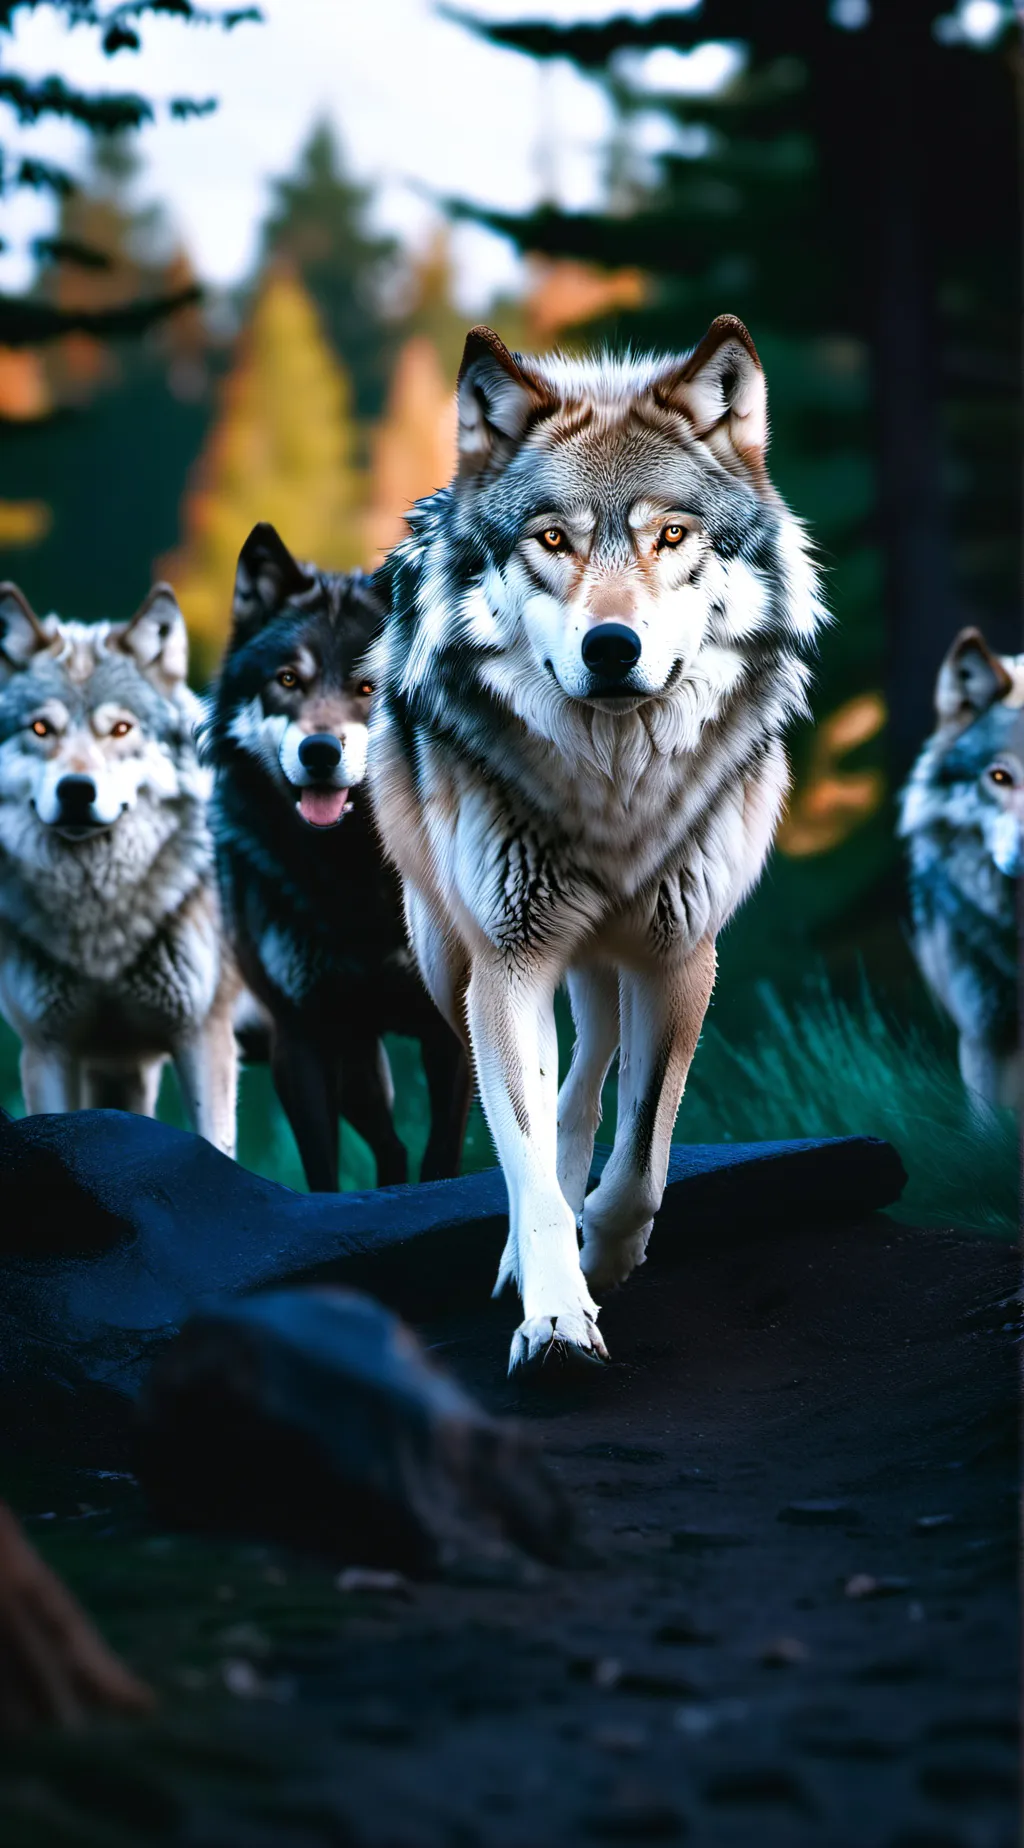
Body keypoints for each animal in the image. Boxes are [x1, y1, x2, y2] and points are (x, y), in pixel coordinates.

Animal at [201, 523, 471, 1192]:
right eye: (287, 680)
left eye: (369, 685)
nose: (319, 751)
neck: (354, 872)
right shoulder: (302, 1037)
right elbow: (323, 1169)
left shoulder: (453, 1026)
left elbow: (442, 1157)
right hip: (353, 1060)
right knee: (389, 1146)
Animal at [367, 317, 824, 1369]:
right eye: (552, 540)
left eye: (671, 536)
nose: (611, 648)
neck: (615, 793)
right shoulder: (508, 962)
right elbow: (525, 1157)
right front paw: (554, 1314)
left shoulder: (682, 954)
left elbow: (646, 1141)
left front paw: (607, 1256)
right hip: (449, 958)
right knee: (534, 1105)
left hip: (604, 957)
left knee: (584, 1084)